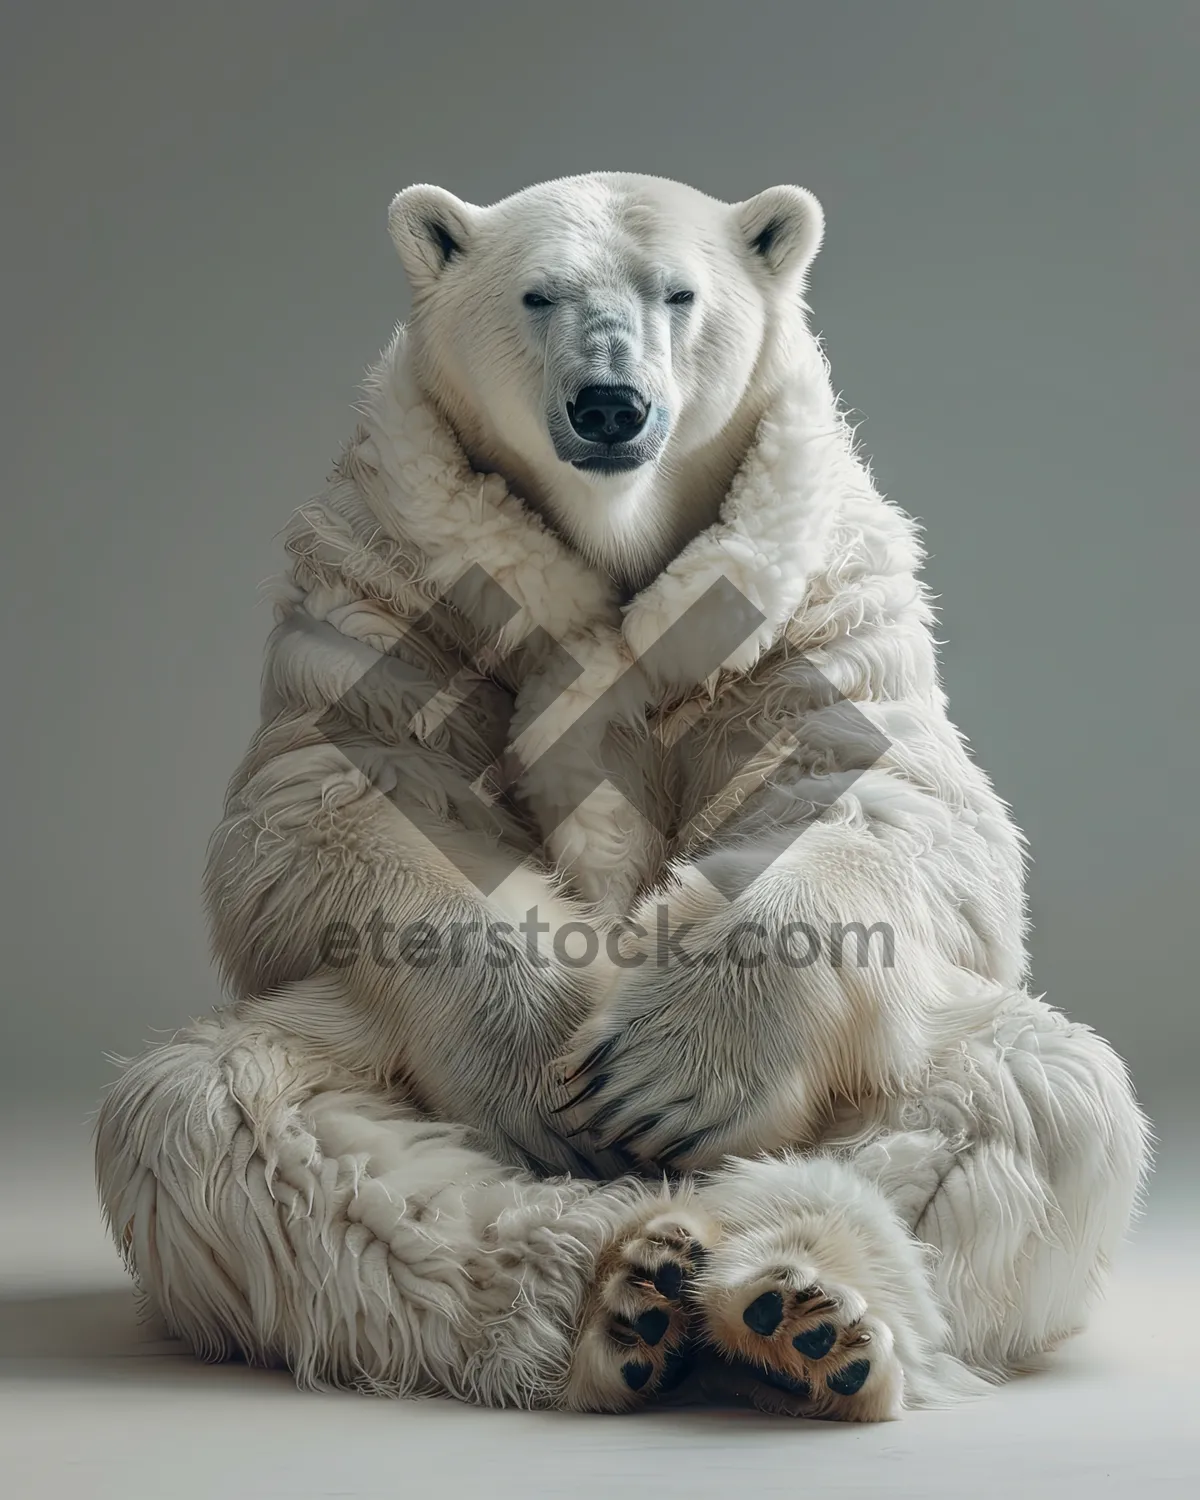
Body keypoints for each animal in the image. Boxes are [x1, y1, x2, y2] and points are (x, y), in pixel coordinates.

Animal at [91, 172, 1146, 1416]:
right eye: (538, 293)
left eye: (678, 293)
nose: (609, 404)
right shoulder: (386, 574)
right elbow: (347, 791)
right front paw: (546, 1069)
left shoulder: (814, 584)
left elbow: (877, 795)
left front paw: (656, 1077)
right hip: (340, 1052)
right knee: (231, 1122)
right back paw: (623, 1295)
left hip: (911, 1050)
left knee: (1024, 1101)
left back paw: (801, 1303)